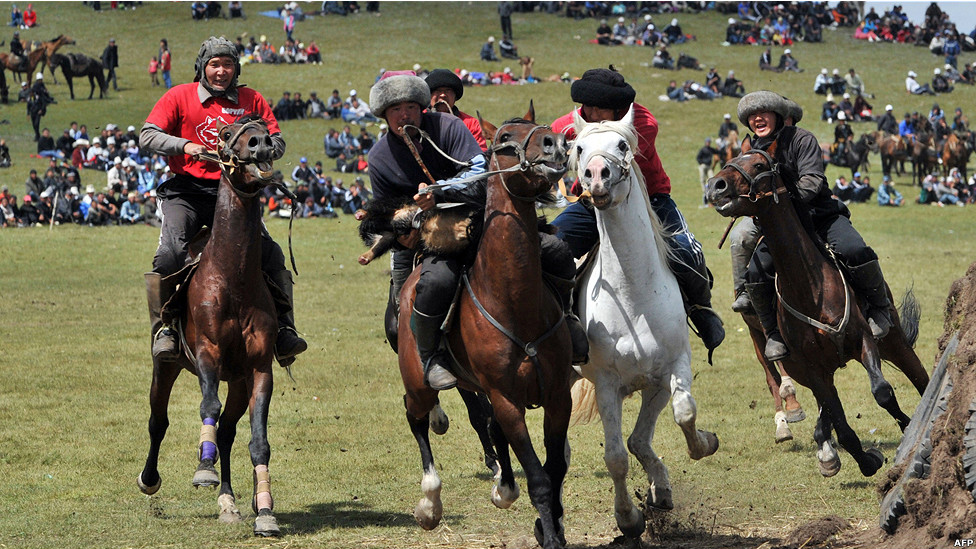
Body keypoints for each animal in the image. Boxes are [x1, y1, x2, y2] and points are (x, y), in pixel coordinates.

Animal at [136, 115, 286, 536]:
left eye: (265, 126)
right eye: (225, 134)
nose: (261, 143)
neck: (232, 278)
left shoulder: (258, 369)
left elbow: (258, 440)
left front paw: (265, 510)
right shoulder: (207, 352)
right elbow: (208, 404)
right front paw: (204, 467)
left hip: (238, 381)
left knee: (228, 432)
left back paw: (230, 501)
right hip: (167, 367)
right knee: (159, 420)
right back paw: (151, 478)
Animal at [398, 109, 580, 544]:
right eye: (504, 139)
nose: (555, 143)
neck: (516, 304)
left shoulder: (558, 397)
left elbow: (555, 469)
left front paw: (551, 525)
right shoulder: (507, 399)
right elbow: (540, 479)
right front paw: (550, 535)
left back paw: (504, 485)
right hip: (418, 381)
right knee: (416, 418)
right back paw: (430, 503)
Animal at [568, 108, 720, 540]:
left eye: (623, 144)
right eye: (579, 147)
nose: (597, 175)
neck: (632, 291)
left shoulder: (667, 373)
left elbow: (680, 415)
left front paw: (697, 452)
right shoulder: (606, 385)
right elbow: (617, 456)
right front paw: (629, 518)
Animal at [704, 140, 928, 476]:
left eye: (758, 164)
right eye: (732, 158)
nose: (715, 186)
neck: (811, 286)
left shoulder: (864, 342)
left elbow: (882, 392)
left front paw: (906, 430)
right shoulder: (813, 370)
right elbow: (843, 427)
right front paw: (867, 460)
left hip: (893, 341)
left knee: (921, 378)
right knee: (822, 410)